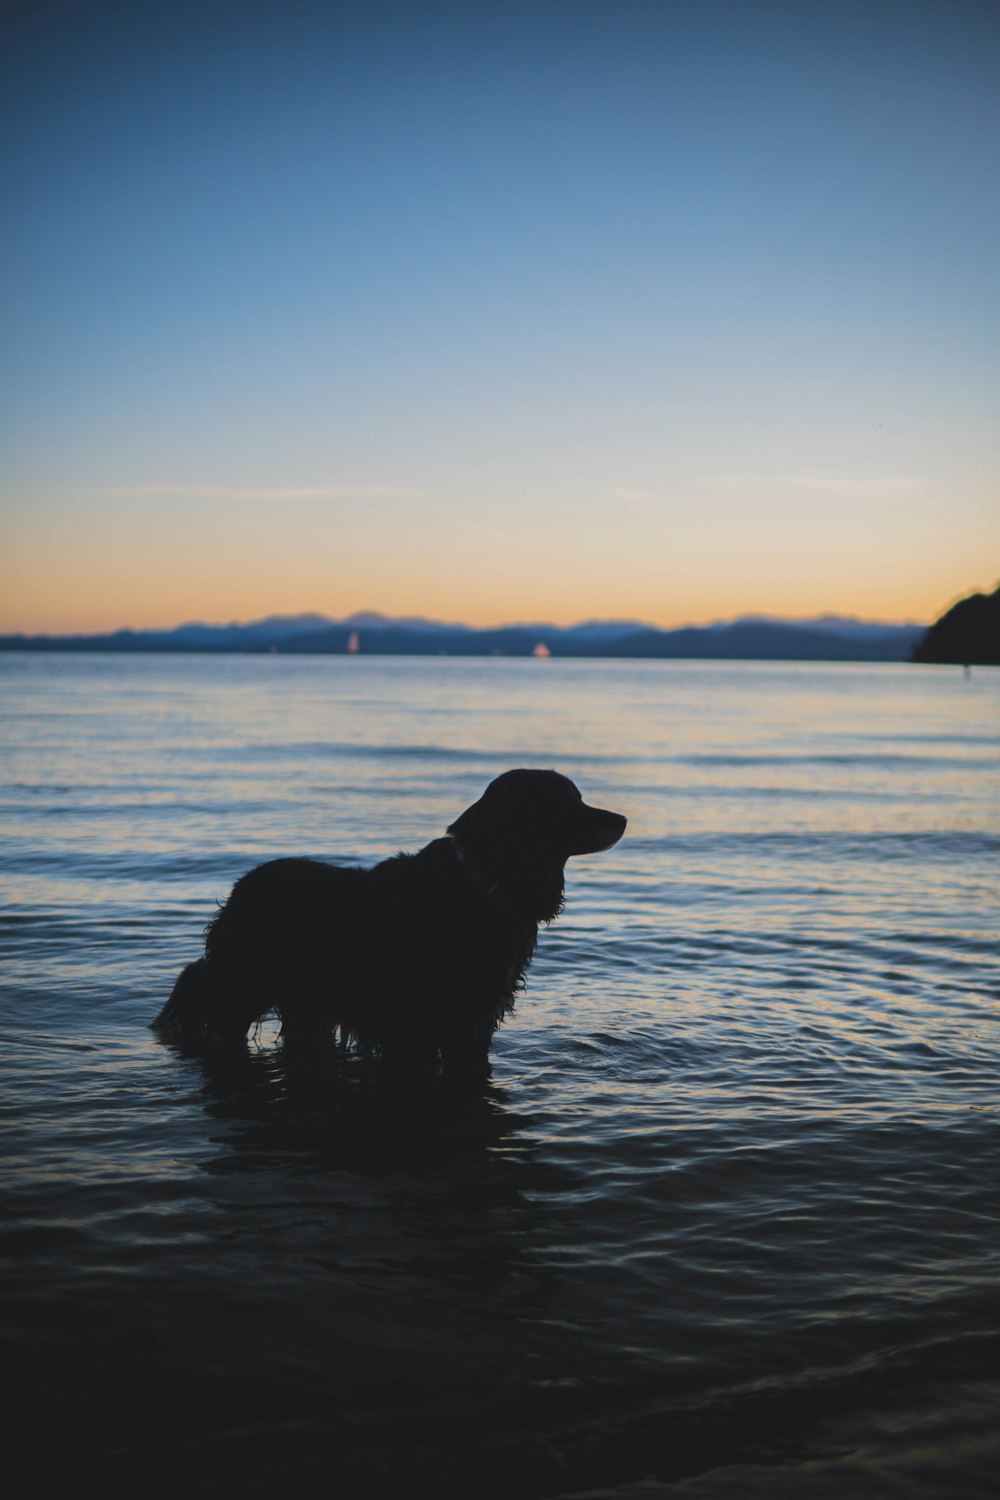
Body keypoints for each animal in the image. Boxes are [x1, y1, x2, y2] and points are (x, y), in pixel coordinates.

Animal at [153, 768, 626, 1074]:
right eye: (568, 802)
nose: (622, 819)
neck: (481, 883)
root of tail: (242, 887)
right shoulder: (427, 1022)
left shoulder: (474, 1020)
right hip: (242, 985)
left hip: (305, 1002)